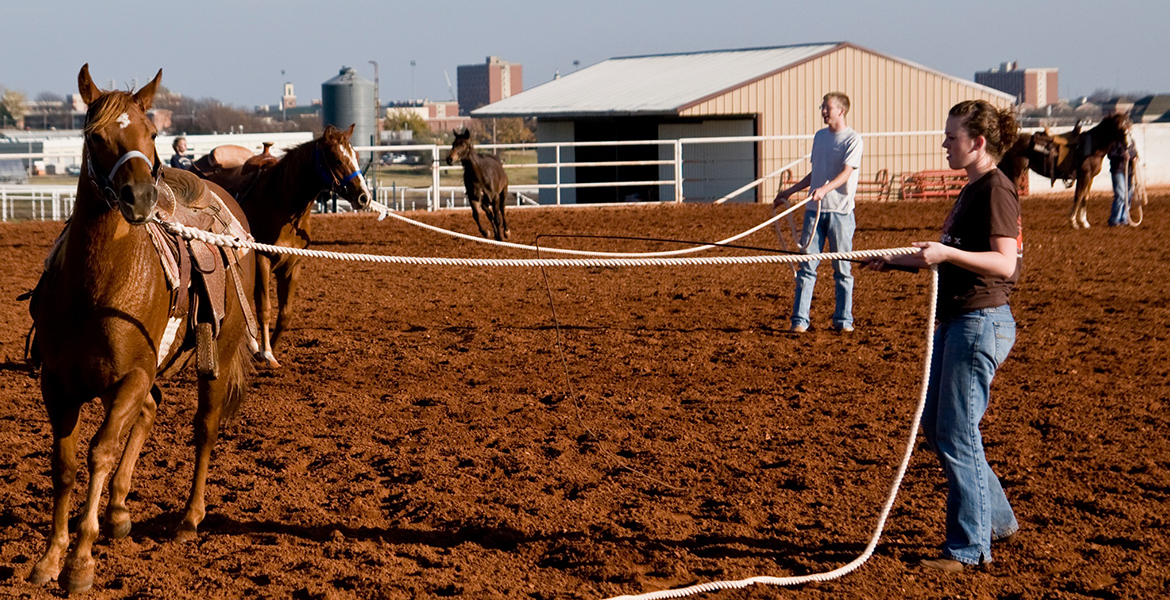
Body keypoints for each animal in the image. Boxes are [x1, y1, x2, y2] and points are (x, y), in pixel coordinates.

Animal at [22, 66, 256, 594]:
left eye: (151, 133)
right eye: (95, 135)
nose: (141, 198)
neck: (96, 289)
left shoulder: (129, 378)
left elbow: (100, 453)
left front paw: (81, 562)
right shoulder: (58, 386)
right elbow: (65, 465)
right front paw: (50, 558)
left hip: (214, 357)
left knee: (204, 428)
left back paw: (189, 519)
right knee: (150, 412)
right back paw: (119, 512)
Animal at [196, 123, 369, 367]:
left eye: (356, 156)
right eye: (336, 159)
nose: (364, 197)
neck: (280, 200)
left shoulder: (293, 264)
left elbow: (285, 314)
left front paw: (271, 350)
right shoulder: (263, 260)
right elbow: (265, 309)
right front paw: (266, 353)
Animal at [996, 111, 1132, 226]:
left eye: (1129, 125)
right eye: (1120, 126)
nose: (1128, 144)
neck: (1092, 146)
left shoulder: (1090, 177)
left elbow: (1085, 197)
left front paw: (1084, 222)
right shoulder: (1084, 175)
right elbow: (1079, 196)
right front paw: (1073, 221)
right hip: (1015, 172)